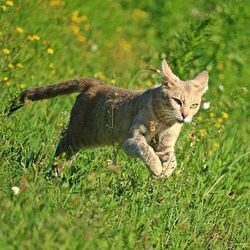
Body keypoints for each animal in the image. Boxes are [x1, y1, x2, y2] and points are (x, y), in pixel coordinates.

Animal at [7, 59, 208, 179]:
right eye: (177, 101)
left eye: (194, 106)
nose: (185, 116)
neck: (165, 122)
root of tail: (95, 83)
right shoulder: (133, 140)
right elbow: (147, 150)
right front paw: (158, 168)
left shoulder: (166, 146)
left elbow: (172, 159)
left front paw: (166, 171)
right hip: (82, 133)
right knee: (63, 145)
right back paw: (55, 173)